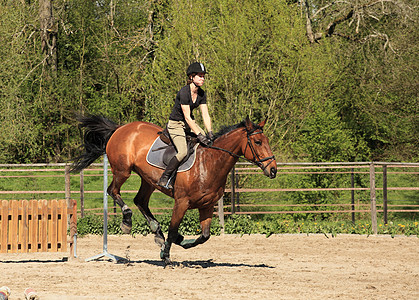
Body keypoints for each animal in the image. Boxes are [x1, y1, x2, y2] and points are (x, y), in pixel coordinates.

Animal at [70, 115, 278, 264]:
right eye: (258, 142)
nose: (273, 170)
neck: (209, 163)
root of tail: (120, 128)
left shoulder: (207, 206)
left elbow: (204, 236)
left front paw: (178, 241)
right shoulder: (182, 202)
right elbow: (173, 228)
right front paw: (166, 254)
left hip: (148, 180)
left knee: (140, 201)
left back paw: (157, 233)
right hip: (123, 171)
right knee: (113, 191)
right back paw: (127, 221)